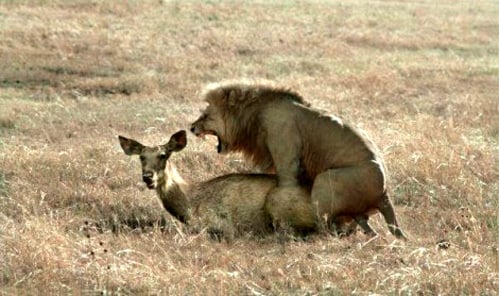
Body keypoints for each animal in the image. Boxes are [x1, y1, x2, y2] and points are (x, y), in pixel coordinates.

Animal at [190, 80, 406, 239]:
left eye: (206, 115)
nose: (191, 128)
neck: (255, 114)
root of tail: (385, 194)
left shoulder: (287, 156)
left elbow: (284, 188)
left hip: (326, 180)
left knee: (325, 228)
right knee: (365, 227)